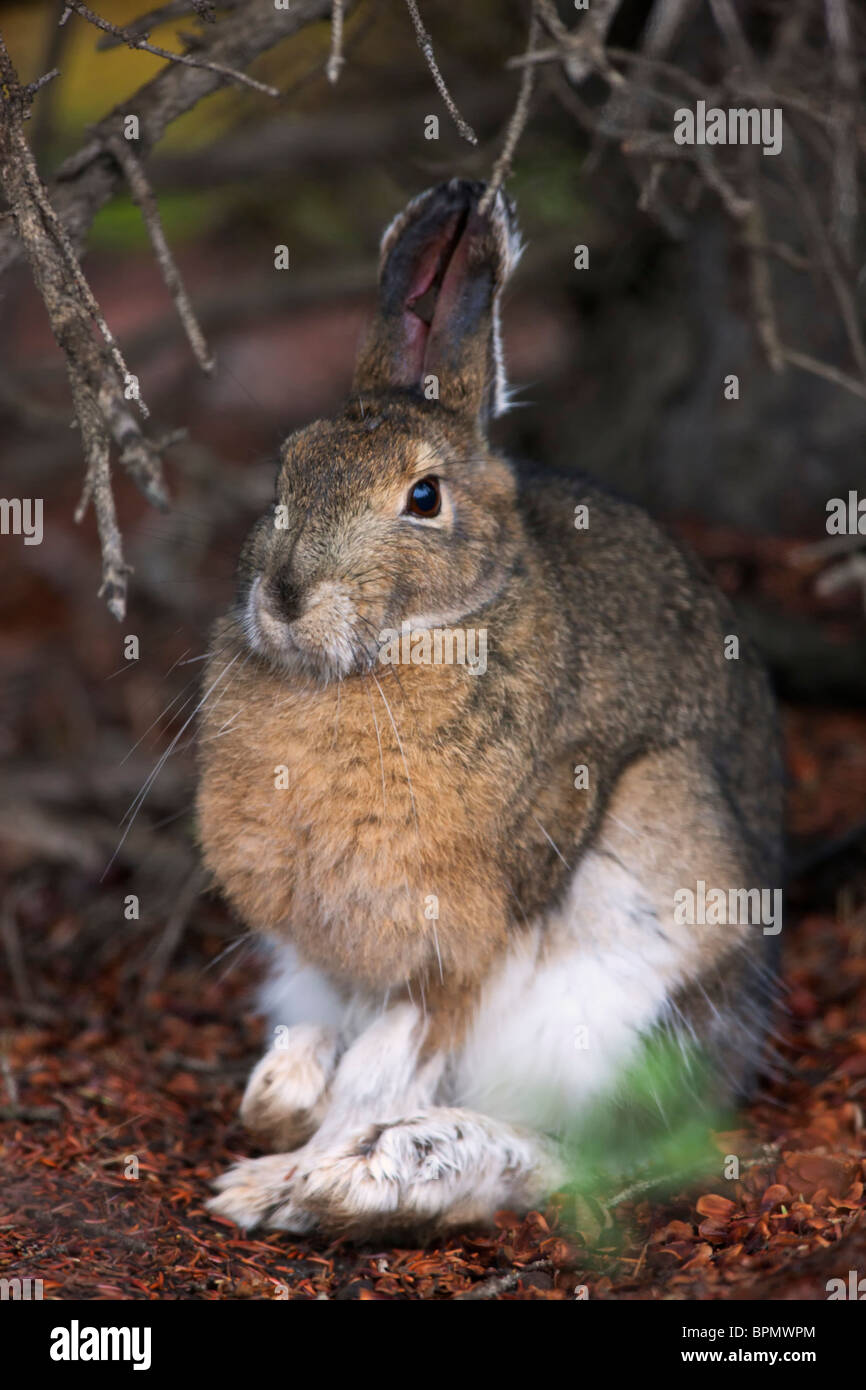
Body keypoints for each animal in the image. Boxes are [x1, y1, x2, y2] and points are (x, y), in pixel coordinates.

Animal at [196, 177, 783, 1239]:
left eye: (424, 498)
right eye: (286, 473)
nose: (287, 597)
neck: (400, 649)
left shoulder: (457, 943)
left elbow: (383, 1071)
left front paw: (287, 1181)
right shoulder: (327, 956)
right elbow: (337, 1050)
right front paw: (279, 1113)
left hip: (636, 949)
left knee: (581, 1160)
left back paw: (382, 1175)